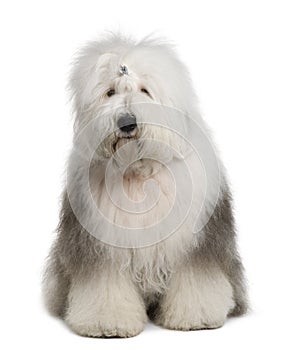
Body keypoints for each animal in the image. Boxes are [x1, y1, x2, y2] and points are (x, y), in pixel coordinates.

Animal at [44, 33, 249, 336]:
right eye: (110, 93)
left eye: (145, 90)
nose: (127, 123)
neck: (138, 172)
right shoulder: (101, 244)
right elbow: (104, 284)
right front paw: (107, 322)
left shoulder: (193, 242)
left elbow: (196, 278)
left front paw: (196, 317)